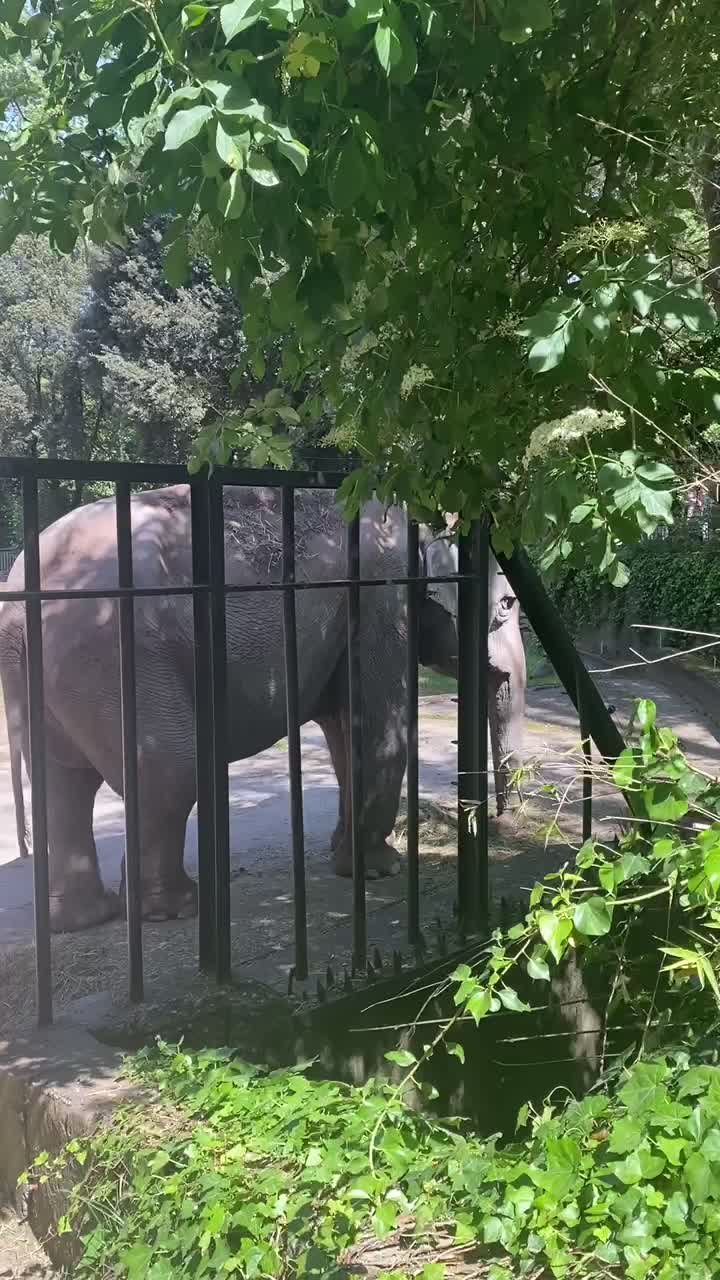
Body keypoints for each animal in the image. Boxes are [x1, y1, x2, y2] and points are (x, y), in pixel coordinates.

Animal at [0, 483, 527, 936]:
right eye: (506, 604)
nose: (506, 820)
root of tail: (15, 600)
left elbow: (342, 732)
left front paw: (345, 854)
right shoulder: (382, 595)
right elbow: (381, 731)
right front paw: (382, 870)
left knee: (64, 782)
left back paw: (86, 917)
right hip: (112, 656)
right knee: (170, 769)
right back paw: (176, 908)